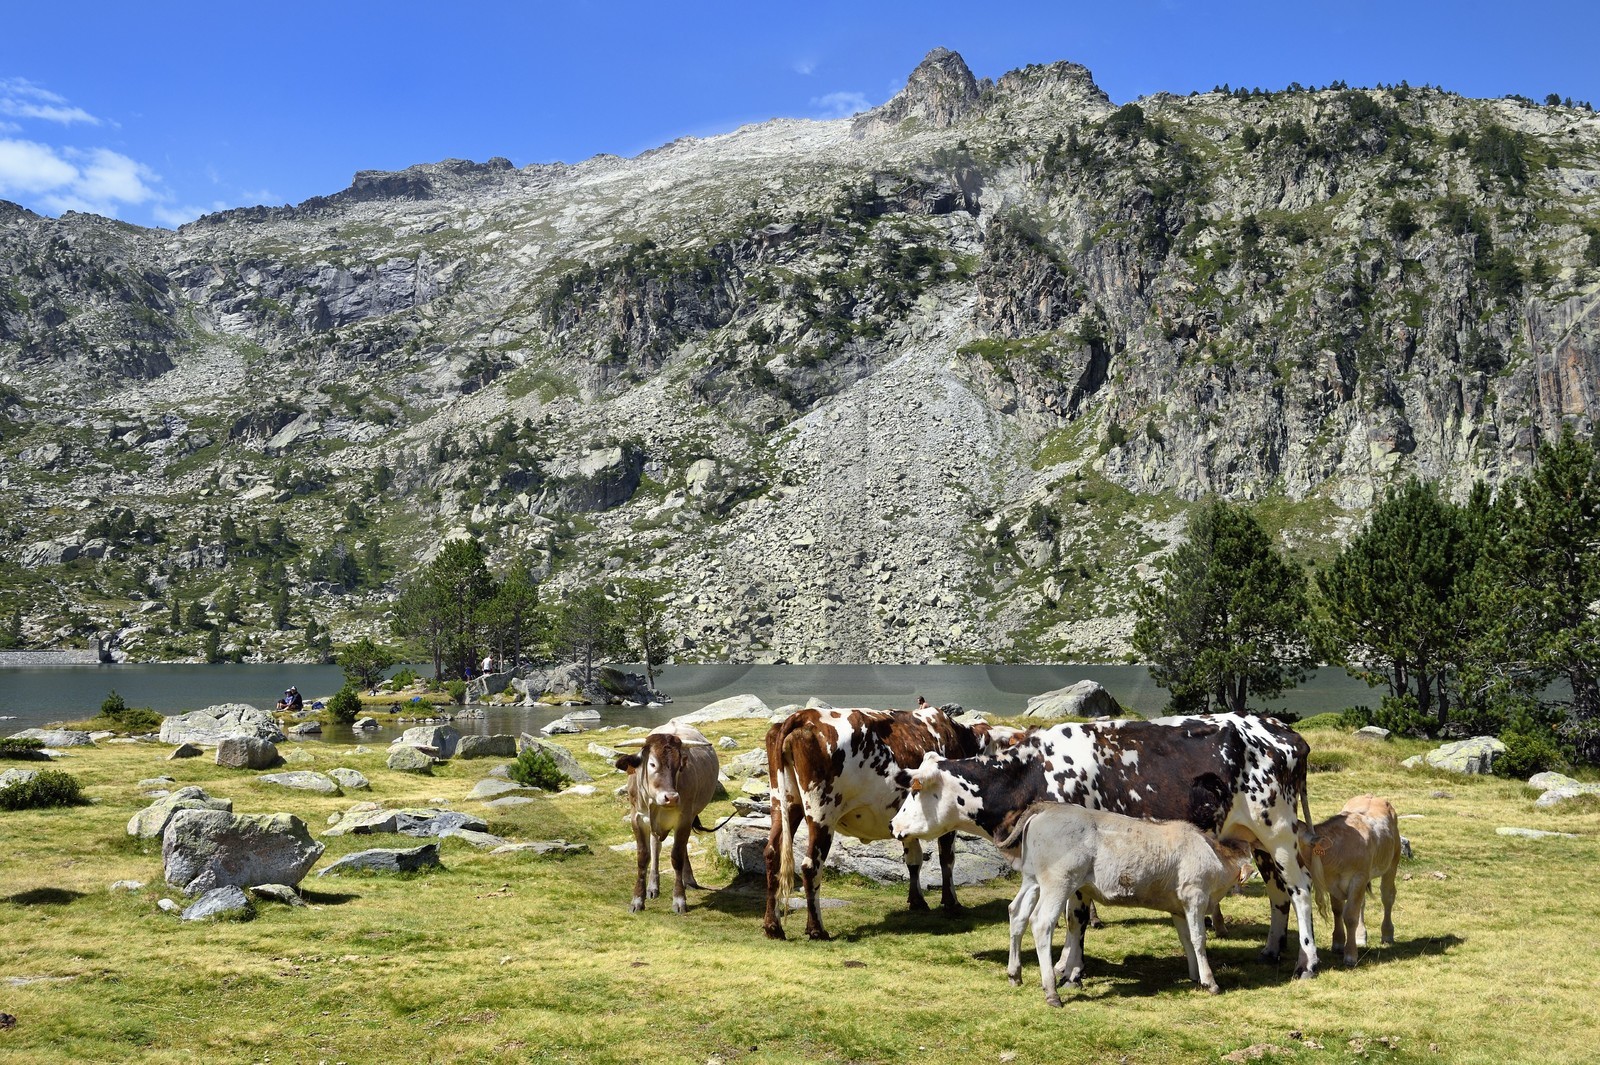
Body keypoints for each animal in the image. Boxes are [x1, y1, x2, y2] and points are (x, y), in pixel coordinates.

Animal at [614, 722, 721, 915]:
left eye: (680, 766)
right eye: (652, 764)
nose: (671, 797)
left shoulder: (684, 819)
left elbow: (676, 856)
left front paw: (679, 899)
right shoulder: (637, 819)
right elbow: (643, 857)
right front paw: (637, 899)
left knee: (679, 848)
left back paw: (688, 880)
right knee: (656, 846)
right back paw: (653, 887)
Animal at [762, 705, 995, 941]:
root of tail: (803, 716)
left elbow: (913, 859)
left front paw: (917, 901)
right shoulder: (948, 817)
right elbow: (947, 860)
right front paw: (951, 903)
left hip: (784, 802)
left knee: (773, 854)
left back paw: (773, 927)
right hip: (822, 812)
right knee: (811, 866)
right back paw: (816, 929)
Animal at [890, 712, 1322, 978]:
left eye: (915, 789)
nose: (894, 825)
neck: (1032, 772)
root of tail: (1282, 731)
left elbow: (1075, 916)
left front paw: (1070, 970)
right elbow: (1065, 913)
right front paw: (1066, 964)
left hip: (1279, 832)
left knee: (1300, 889)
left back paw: (1308, 961)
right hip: (1257, 840)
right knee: (1278, 894)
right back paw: (1271, 950)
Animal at [1002, 802, 1257, 1004]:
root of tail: (1048, 807)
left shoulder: (1178, 908)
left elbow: (1185, 939)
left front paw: (1194, 975)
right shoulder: (1194, 895)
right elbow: (1198, 938)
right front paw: (1209, 981)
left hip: (1032, 879)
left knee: (1017, 913)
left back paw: (1015, 974)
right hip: (1059, 882)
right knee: (1041, 922)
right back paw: (1052, 991)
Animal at [1297, 794, 1400, 968]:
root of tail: (1371, 796)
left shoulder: (1358, 877)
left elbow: (1350, 916)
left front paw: (1350, 955)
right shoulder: (1332, 882)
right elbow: (1338, 910)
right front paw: (1338, 943)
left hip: (1392, 862)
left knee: (1387, 897)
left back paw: (1387, 933)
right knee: (1362, 904)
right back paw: (1360, 936)